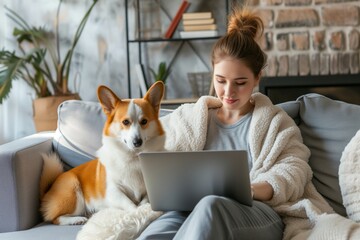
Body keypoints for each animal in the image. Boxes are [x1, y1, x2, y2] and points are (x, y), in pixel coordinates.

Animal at [38, 81, 165, 227]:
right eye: (125, 122)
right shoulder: (113, 192)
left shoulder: (147, 191)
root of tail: (47, 192)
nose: (137, 142)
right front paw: (138, 212)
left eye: (144, 121)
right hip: (73, 190)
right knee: (55, 218)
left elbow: (144, 201)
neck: (132, 157)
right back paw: (76, 220)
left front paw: (144, 208)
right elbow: (130, 204)